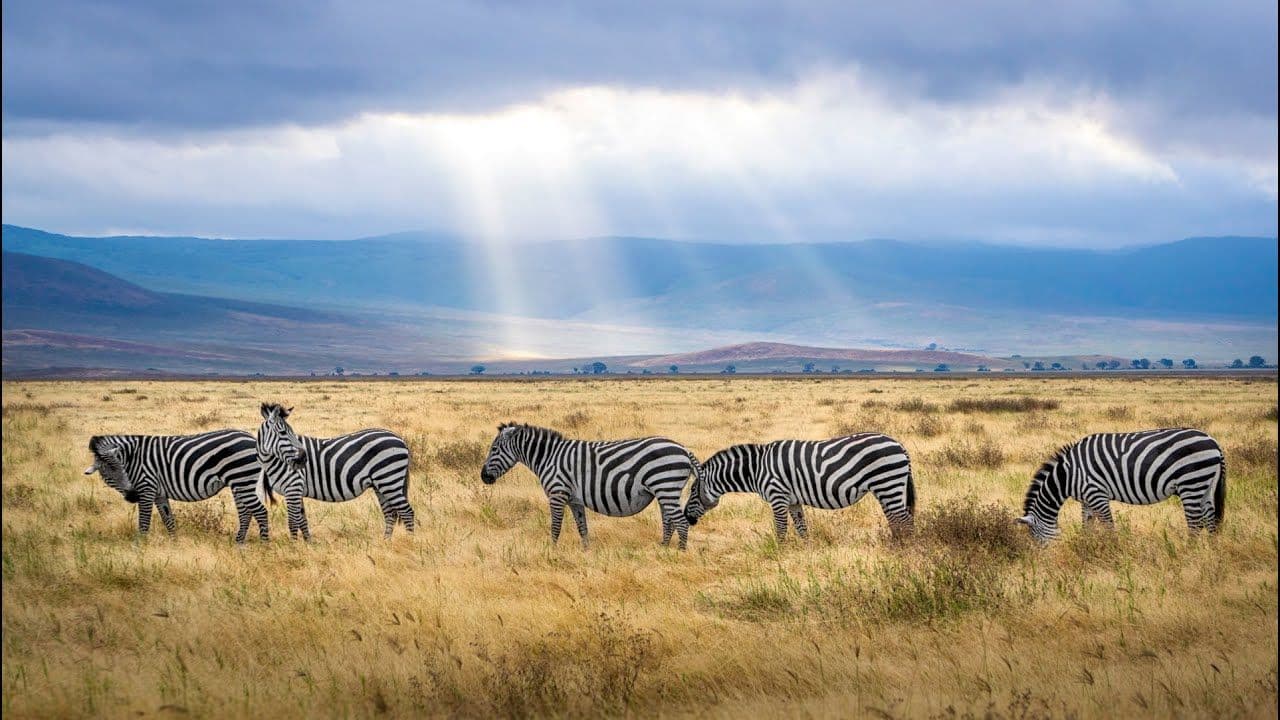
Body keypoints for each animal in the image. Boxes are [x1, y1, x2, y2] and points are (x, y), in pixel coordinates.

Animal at [83, 430, 269, 543]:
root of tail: (252, 438)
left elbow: (144, 523)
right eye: (107, 475)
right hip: (239, 483)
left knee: (260, 512)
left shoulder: (146, 487)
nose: (132, 496)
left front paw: (139, 547)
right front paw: (175, 544)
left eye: (122, 469)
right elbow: (168, 520)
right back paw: (239, 543)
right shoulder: (158, 493)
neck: (133, 458)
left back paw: (264, 545)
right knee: (245, 513)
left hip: (243, 480)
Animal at [255, 403, 414, 540]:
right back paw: (386, 542)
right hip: (381, 484)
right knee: (390, 513)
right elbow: (302, 521)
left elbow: (293, 522)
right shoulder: (297, 490)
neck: (275, 460)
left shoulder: (293, 487)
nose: (303, 458)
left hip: (389, 480)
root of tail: (400, 439)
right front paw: (308, 543)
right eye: (282, 432)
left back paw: (410, 541)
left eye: (291, 432)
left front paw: (293, 546)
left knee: (407, 512)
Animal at [480, 422, 699, 549]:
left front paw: (552, 551)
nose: (483, 477)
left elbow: (555, 526)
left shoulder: (557, 493)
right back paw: (662, 549)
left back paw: (679, 553)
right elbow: (582, 527)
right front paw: (586, 552)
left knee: (681, 522)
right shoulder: (574, 500)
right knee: (669, 521)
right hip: (664, 491)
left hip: (665, 486)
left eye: (494, 449)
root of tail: (684, 449)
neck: (548, 457)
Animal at [682, 433, 916, 541]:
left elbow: (781, 529)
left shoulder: (777, 496)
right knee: (896, 519)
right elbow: (802, 528)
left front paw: (779, 554)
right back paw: (896, 544)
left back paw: (905, 549)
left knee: (904, 519)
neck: (757, 469)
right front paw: (806, 552)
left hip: (888, 483)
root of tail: (899, 445)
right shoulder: (793, 501)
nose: (686, 518)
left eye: (692, 491)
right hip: (887, 488)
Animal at [1017, 428, 1226, 542]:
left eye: (1035, 536)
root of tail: (1213, 442)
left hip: (1191, 482)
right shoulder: (1086, 499)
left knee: (1195, 523)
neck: (1068, 475)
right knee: (1210, 520)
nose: (1042, 560)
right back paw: (1211, 554)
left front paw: (1113, 551)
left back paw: (1188, 553)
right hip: (1206, 485)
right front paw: (1086, 547)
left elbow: (1109, 527)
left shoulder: (1097, 494)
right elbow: (1087, 526)